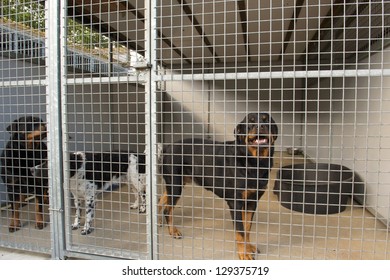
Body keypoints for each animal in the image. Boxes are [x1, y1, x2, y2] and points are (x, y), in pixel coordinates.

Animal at [158, 112, 278, 260]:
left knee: (160, 200)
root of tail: (168, 147)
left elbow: (247, 228)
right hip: (175, 185)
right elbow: (240, 231)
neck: (254, 162)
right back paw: (172, 231)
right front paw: (243, 254)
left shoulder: (252, 202)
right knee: (167, 209)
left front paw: (249, 247)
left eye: (267, 120)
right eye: (250, 122)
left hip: (177, 183)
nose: (261, 126)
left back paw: (158, 221)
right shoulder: (235, 203)